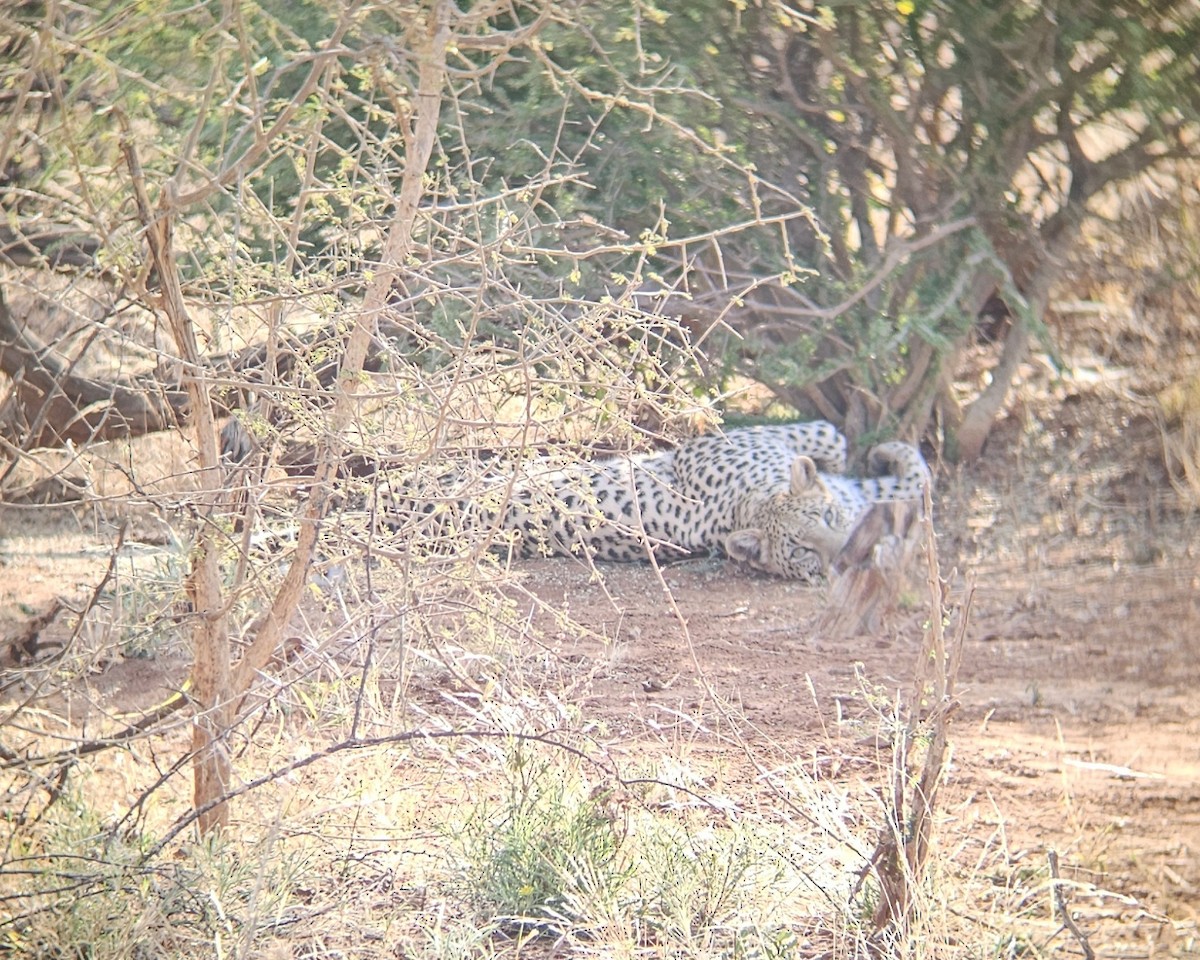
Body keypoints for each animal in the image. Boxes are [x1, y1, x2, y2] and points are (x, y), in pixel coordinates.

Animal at [382, 421, 931, 582]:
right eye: (800, 550)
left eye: (828, 518)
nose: (847, 557)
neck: (749, 503)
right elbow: (834, 436)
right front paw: (885, 454)